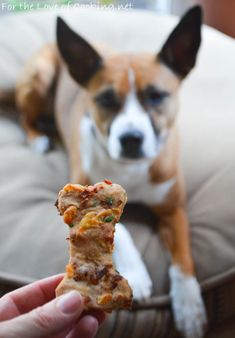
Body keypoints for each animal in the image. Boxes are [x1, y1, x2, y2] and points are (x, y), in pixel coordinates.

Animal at [16, 5, 207, 338]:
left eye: (156, 96)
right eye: (106, 99)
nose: (131, 139)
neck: (129, 168)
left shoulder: (175, 208)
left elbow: (183, 258)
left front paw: (189, 305)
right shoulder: (83, 185)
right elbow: (122, 228)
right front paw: (137, 274)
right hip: (39, 78)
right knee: (24, 114)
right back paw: (38, 137)